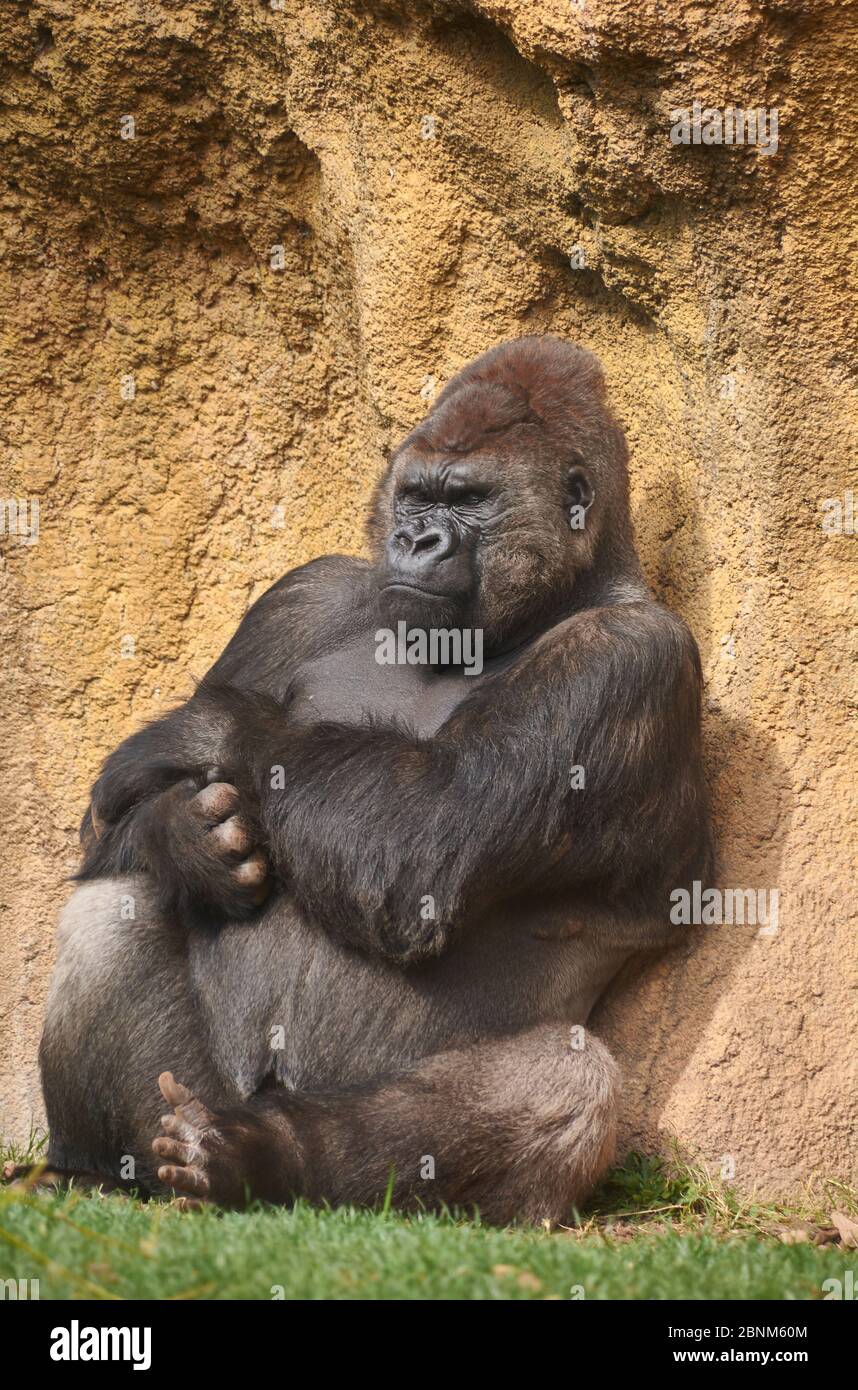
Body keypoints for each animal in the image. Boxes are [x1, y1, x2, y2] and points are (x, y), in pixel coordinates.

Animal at [36, 339, 709, 1228]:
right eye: (417, 494)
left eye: (470, 500)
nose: (415, 538)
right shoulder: (302, 595)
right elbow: (106, 830)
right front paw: (189, 838)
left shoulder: (631, 659)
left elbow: (421, 835)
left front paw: (199, 733)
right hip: (195, 1091)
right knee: (110, 906)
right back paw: (102, 1169)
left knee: (569, 1080)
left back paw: (264, 1157)